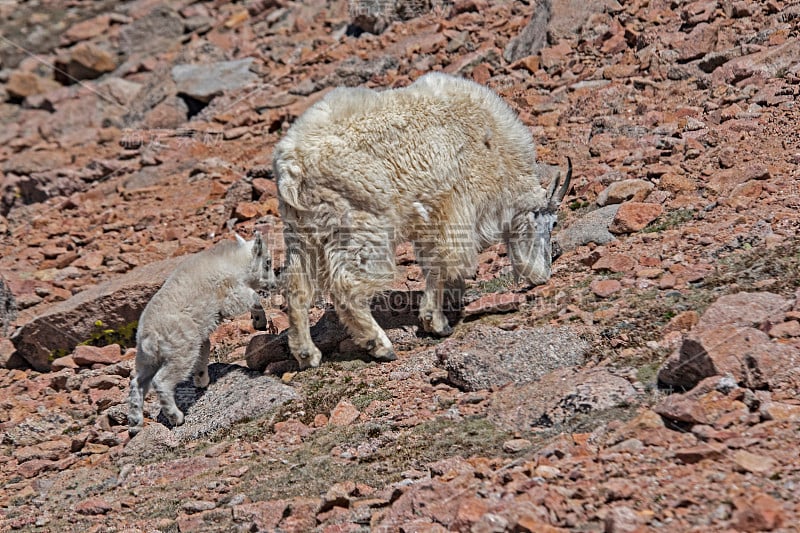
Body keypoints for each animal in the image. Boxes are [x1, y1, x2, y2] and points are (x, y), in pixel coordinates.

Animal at [274, 72, 568, 368]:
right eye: (551, 224)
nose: (542, 277)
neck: (493, 148)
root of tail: (292, 167)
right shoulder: (452, 206)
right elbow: (442, 262)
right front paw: (436, 322)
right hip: (360, 224)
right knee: (347, 284)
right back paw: (380, 345)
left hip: (302, 229)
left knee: (296, 287)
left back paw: (307, 354)